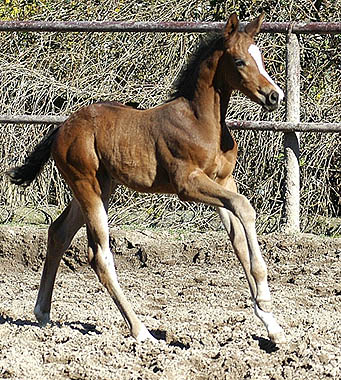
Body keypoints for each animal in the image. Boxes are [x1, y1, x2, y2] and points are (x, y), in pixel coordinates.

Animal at [6, 13, 286, 344]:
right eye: (240, 61)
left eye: (262, 57)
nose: (275, 95)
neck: (201, 123)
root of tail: (62, 127)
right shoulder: (188, 184)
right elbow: (245, 207)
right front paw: (265, 300)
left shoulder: (223, 181)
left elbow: (239, 240)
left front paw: (272, 324)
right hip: (88, 187)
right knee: (99, 255)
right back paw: (141, 331)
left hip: (100, 187)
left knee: (59, 232)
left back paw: (43, 314)